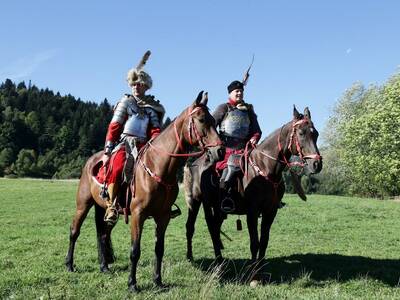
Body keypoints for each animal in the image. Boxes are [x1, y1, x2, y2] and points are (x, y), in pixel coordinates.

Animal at [64, 91, 223, 290]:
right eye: (201, 120)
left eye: (214, 121)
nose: (220, 151)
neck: (158, 166)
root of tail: (92, 160)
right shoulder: (138, 215)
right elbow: (135, 250)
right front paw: (132, 283)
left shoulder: (163, 216)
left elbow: (159, 249)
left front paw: (158, 281)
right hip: (83, 204)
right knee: (74, 231)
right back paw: (69, 264)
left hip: (105, 209)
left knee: (102, 234)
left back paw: (104, 266)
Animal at [184, 106, 322, 278]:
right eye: (301, 133)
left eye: (315, 134)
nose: (316, 164)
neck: (265, 168)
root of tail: (195, 163)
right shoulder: (252, 212)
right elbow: (254, 243)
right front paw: (254, 274)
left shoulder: (270, 211)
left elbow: (264, 241)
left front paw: (261, 270)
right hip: (197, 202)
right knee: (194, 227)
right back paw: (193, 258)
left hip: (218, 208)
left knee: (214, 228)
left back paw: (220, 260)